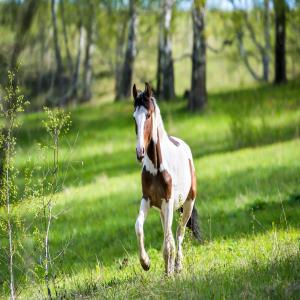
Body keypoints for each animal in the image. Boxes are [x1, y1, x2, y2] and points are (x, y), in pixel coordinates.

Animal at [132, 82, 200, 274]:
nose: (140, 152)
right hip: (163, 210)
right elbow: (138, 227)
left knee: (179, 233)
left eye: (148, 115)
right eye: (134, 118)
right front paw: (145, 262)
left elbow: (170, 240)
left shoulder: (168, 201)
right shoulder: (147, 200)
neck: (156, 167)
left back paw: (177, 266)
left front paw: (169, 271)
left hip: (187, 204)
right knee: (169, 234)